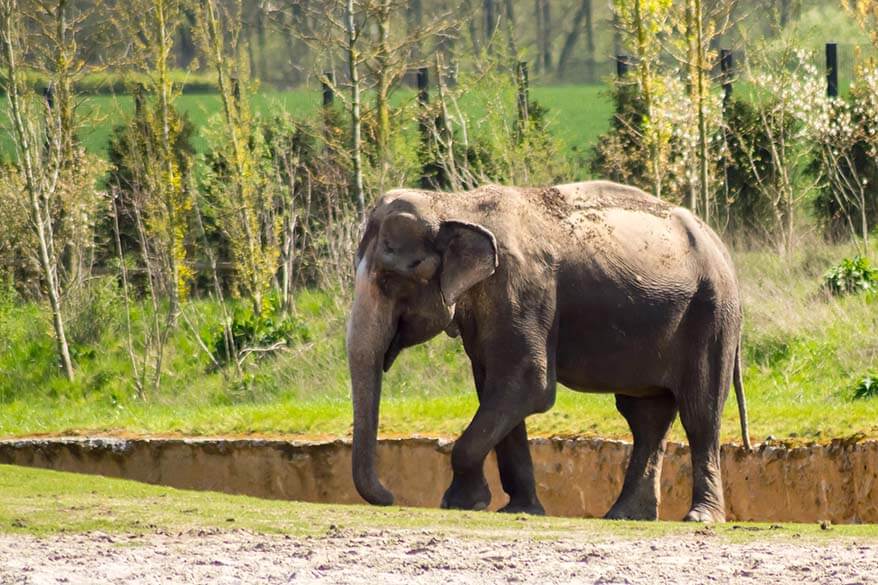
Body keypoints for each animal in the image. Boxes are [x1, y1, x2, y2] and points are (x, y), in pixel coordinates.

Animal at [346, 180, 751, 522]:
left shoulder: (522, 289)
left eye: (389, 279)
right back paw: (625, 516)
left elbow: (528, 386)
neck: (456, 204)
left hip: (712, 316)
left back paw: (698, 517)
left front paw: (461, 503)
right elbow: (495, 389)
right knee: (646, 417)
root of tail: (720, 246)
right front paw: (517, 508)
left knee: (700, 413)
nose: (391, 495)